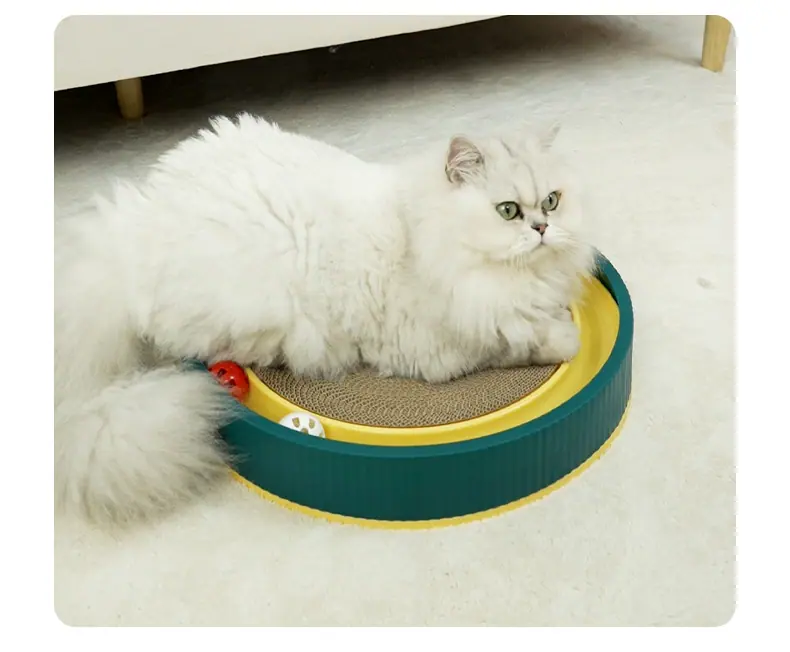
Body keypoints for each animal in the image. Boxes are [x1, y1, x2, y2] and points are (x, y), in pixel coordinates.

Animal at [55, 113, 596, 525]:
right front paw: (565, 338)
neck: (418, 233)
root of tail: (130, 241)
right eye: (508, 211)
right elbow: (523, 339)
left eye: (551, 201)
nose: (542, 228)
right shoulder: (444, 347)